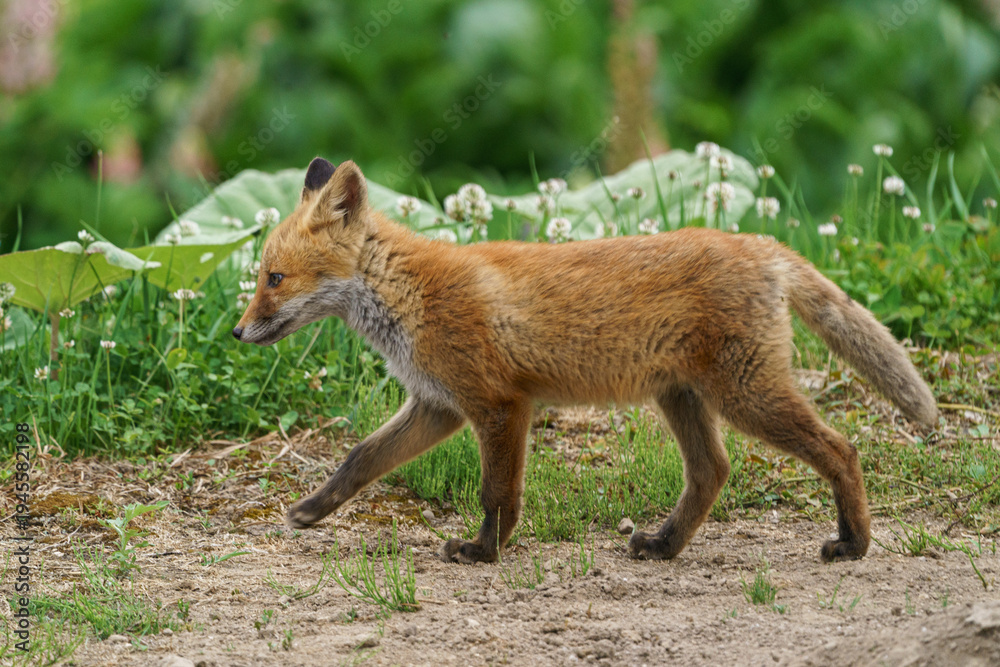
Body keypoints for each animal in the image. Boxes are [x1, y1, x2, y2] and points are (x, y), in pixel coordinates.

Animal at [234, 157, 938, 565]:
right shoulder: (438, 404)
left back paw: (853, 543)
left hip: (747, 396)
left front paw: (483, 552)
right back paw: (663, 545)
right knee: (712, 471)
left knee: (841, 450)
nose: (239, 332)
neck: (411, 297)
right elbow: (359, 460)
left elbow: (498, 493)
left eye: (273, 278)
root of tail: (760, 242)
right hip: (682, 397)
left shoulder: (499, 404)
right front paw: (311, 511)